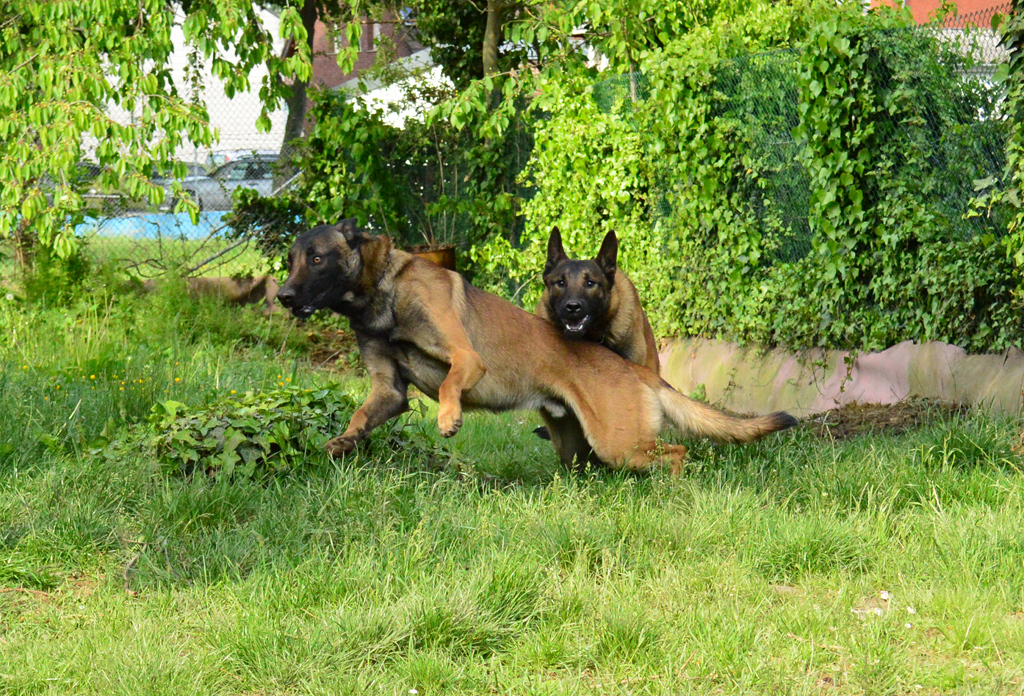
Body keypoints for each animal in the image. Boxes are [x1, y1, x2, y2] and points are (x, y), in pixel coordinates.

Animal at [278, 220, 798, 474]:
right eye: (290, 259)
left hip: (618, 444)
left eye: (317, 258)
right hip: (577, 446)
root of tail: (637, 371)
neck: (382, 294)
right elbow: (360, 416)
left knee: (676, 454)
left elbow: (448, 385)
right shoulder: (388, 390)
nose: (282, 296)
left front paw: (449, 419)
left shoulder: (467, 359)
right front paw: (340, 444)